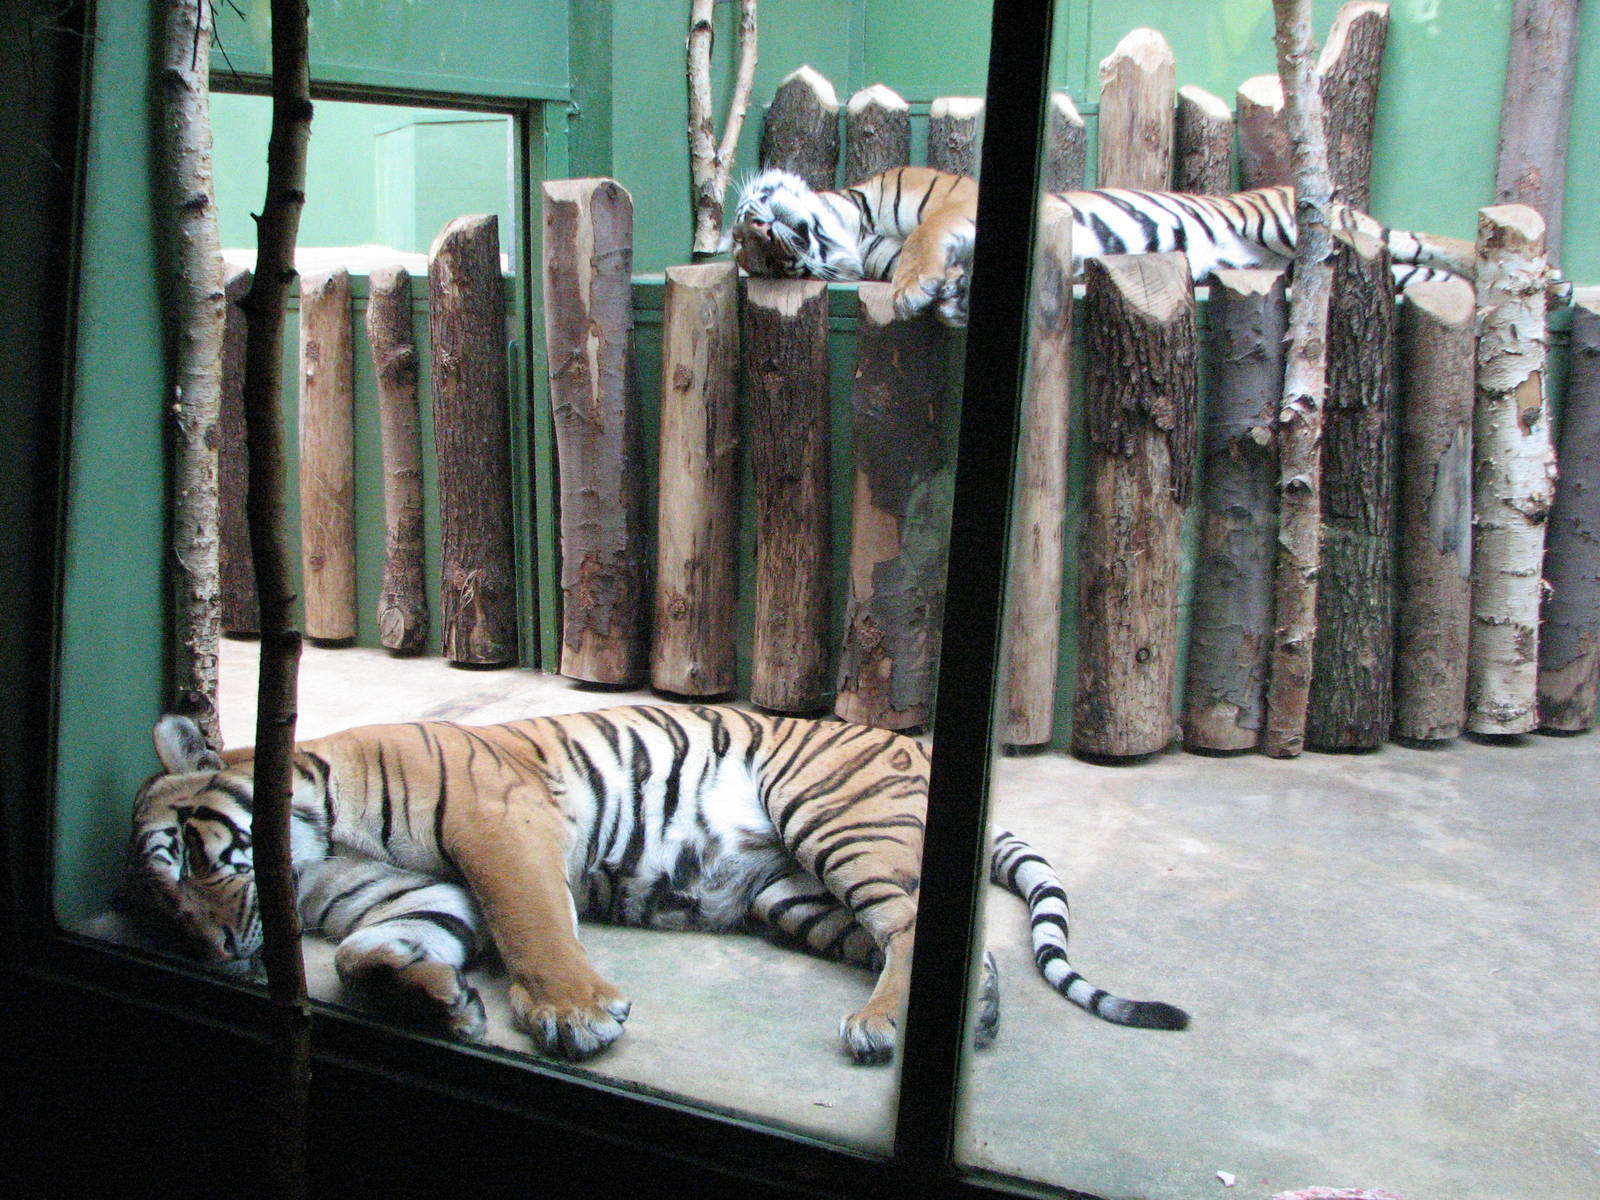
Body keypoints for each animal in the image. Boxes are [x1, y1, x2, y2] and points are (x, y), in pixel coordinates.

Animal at [119, 703, 1188, 1065]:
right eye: (163, 912)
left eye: (195, 860)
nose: (214, 951)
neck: (309, 842)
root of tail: (911, 746)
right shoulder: (414, 899)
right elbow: (361, 951)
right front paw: (436, 998)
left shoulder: (498, 821)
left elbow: (532, 925)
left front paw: (573, 1015)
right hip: (792, 894)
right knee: (937, 940)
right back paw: (968, 1019)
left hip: (837, 818)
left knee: (919, 926)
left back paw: (882, 1028)